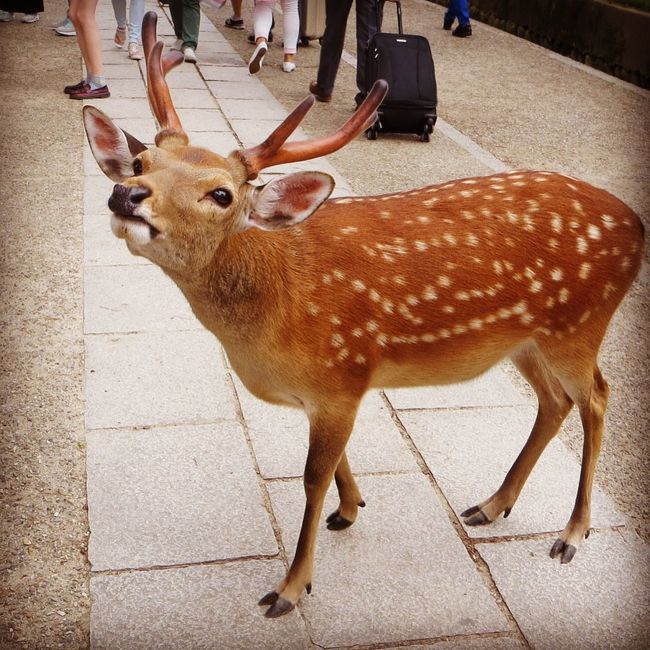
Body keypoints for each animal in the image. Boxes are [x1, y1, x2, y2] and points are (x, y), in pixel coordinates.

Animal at [82, 12, 644, 616]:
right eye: (142, 162)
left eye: (222, 194)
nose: (127, 193)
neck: (273, 316)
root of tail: (636, 226)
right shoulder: (333, 389)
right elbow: (334, 465)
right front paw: (350, 508)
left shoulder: (343, 372)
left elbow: (311, 476)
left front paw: (290, 588)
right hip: (526, 340)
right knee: (554, 401)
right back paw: (492, 505)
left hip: (579, 325)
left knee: (597, 398)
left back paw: (571, 534)